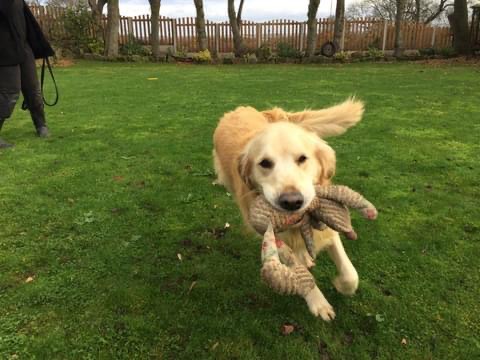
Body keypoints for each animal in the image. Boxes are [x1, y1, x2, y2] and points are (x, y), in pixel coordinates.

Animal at [213, 98, 364, 320]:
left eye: (302, 159)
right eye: (264, 163)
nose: (292, 202)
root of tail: (238, 109)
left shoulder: (328, 225)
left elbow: (351, 273)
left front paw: (341, 285)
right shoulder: (275, 238)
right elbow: (301, 271)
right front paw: (318, 302)